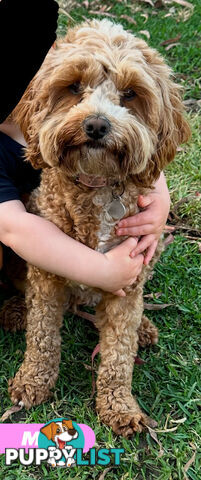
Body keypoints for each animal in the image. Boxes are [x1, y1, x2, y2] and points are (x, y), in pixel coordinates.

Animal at [4, 20, 191, 436]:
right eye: (74, 87)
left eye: (130, 93)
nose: (96, 125)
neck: (97, 184)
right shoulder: (47, 275)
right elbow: (42, 335)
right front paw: (32, 382)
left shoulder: (130, 279)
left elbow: (119, 353)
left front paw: (119, 406)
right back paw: (15, 311)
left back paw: (144, 327)